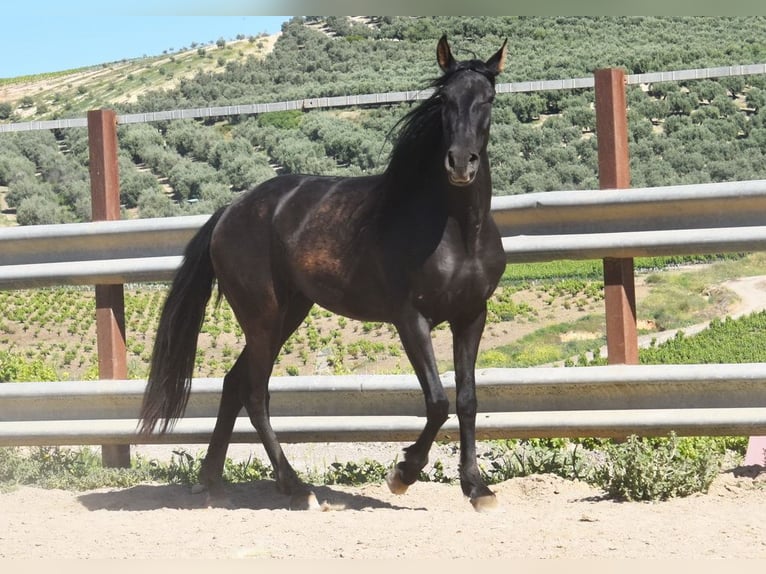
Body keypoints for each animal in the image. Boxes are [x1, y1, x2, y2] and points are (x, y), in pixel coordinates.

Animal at [139, 35, 508, 512]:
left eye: (488, 99)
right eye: (444, 99)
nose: (461, 163)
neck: (455, 232)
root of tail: (230, 211)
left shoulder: (471, 316)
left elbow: (466, 400)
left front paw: (478, 489)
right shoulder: (412, 320)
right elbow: (437, 401)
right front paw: (402, 474)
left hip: (288, 313)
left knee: (234, 383)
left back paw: (212, 481)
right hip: (262, 317)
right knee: (254, 392)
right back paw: (296, 487)